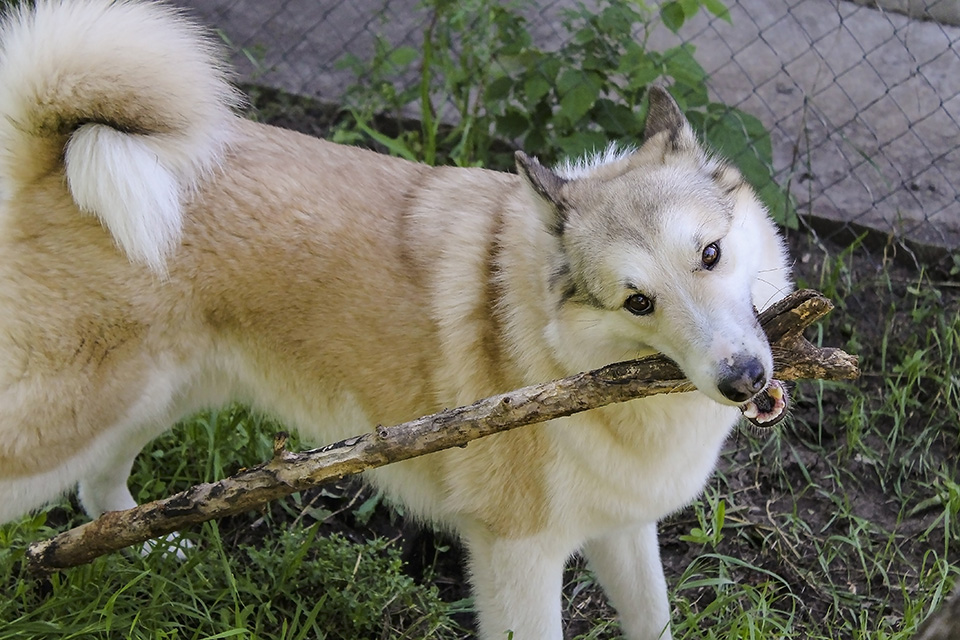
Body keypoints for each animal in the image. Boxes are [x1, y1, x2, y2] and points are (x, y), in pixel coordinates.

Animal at [0, 2, 792, 636]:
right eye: (638, 302)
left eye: (711, 254)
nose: (744, 378)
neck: (552, 346)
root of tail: (52, 161)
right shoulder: (518, 555)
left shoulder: (622, 529)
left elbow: (652, 618)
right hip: (67, 419)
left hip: (152, 397)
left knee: (99, 489)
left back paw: (152, 550)